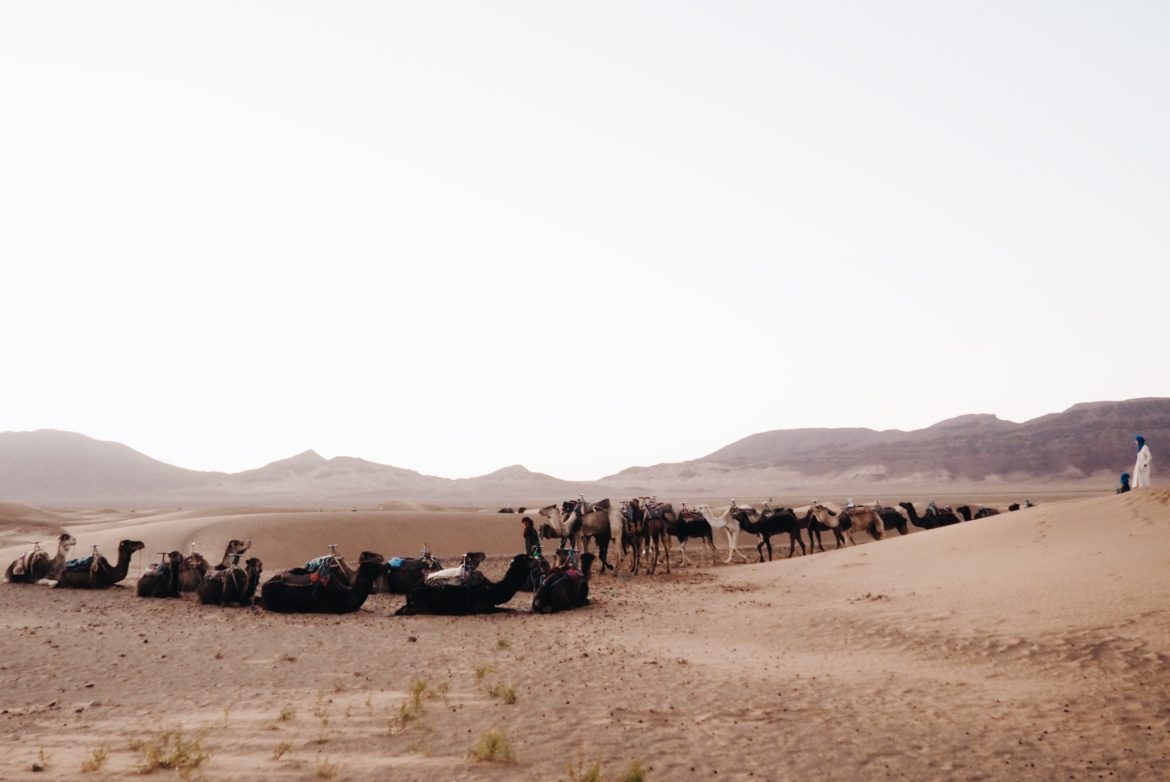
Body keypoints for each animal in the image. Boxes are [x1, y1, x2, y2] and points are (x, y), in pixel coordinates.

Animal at [393, 552, 538, 613]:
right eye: (526, 558)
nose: (537, 560)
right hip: (422, 607)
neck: (492, 591)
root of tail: (409, 593)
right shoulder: (482, 608)